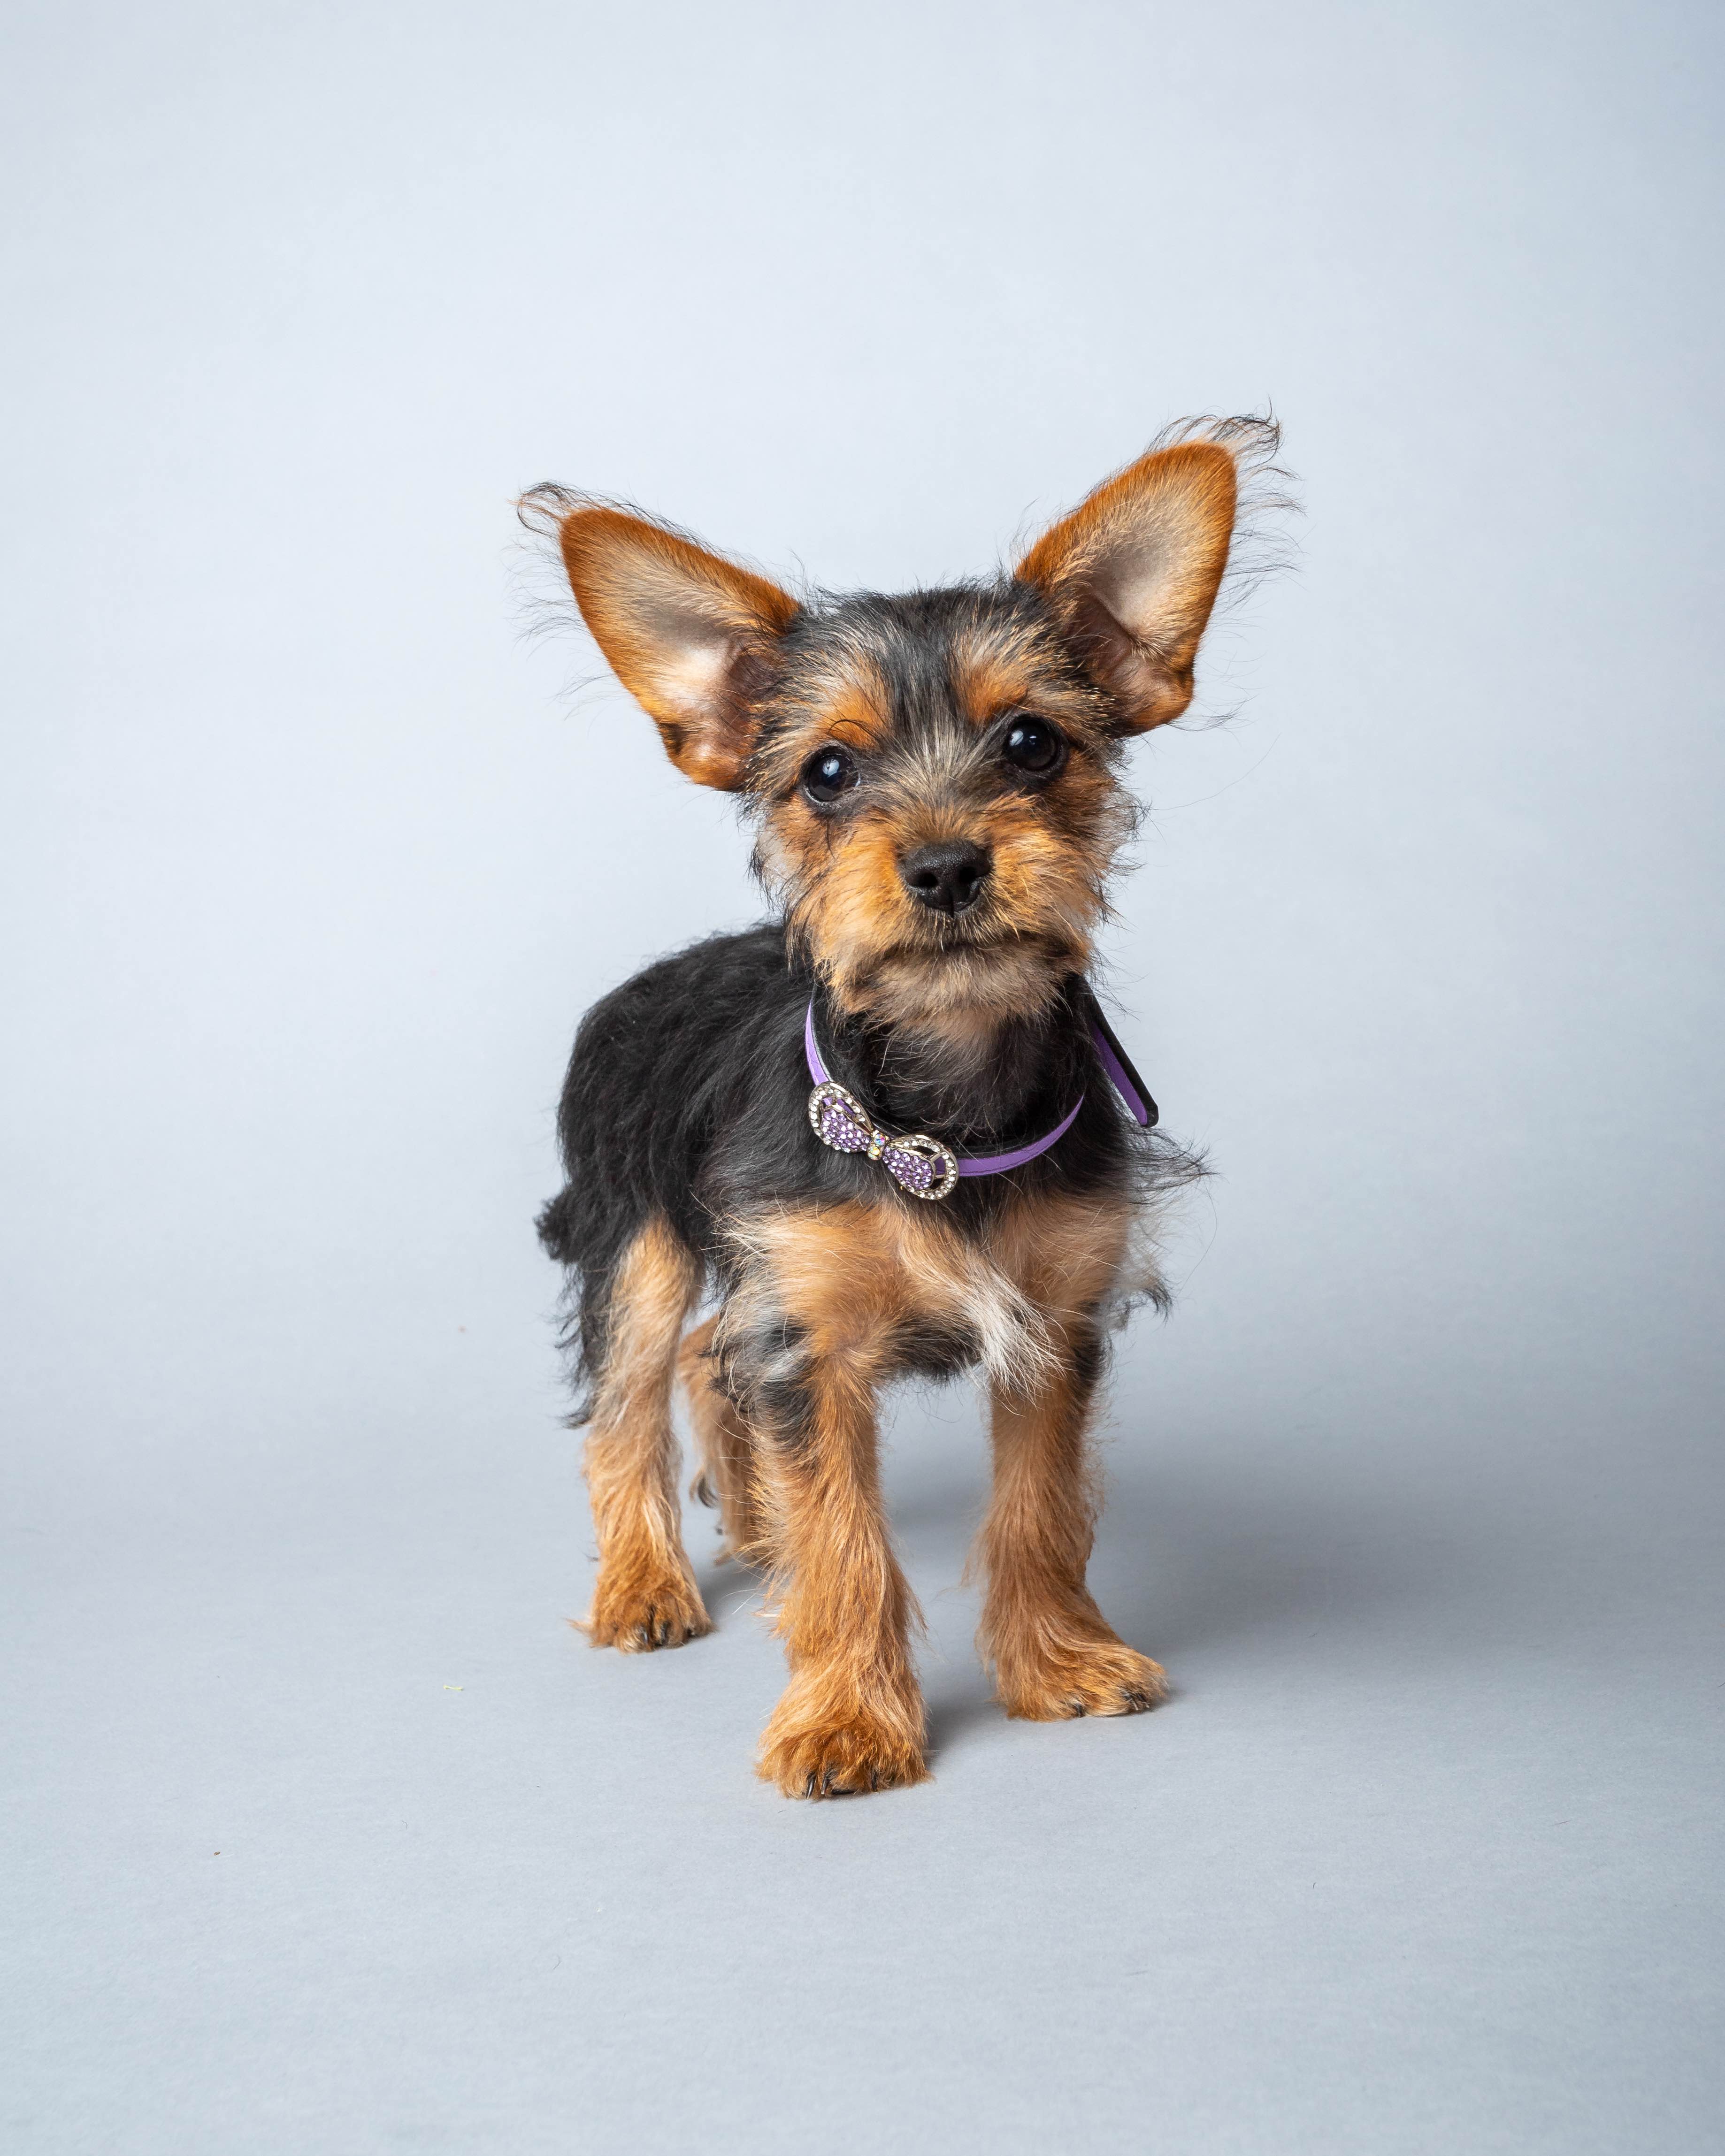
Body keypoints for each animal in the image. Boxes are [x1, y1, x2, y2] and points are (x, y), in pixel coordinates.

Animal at [526, 412, 1276, 1794]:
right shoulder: (810, 1340)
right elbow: (845, 1538)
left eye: (1032, 742)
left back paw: (748, 1531)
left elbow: (1039, 1509)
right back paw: (645, 1586)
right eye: (827, 772)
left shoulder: (1051, 1322)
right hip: (636, 1244)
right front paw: (847, 1719)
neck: (942, 1101)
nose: (942, 863)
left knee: (712, 1360)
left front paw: (1055, 1665)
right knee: (629, 1404)